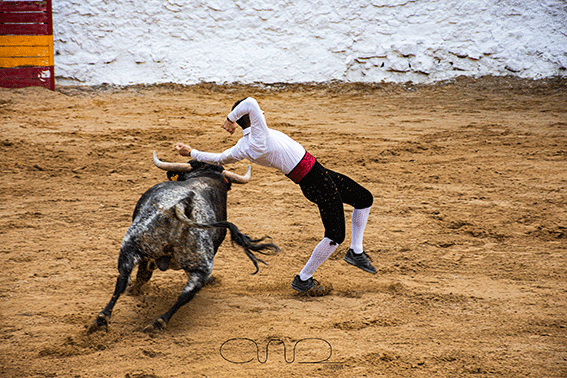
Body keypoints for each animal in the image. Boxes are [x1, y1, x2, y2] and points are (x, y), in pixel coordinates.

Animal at [88, 152, 280, 332]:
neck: (205, 176)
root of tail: (183, 204)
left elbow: (143, 274)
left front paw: (135, 290)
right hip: (194, 263)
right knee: (183, 292)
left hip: (133, 244)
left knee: (129, 278)